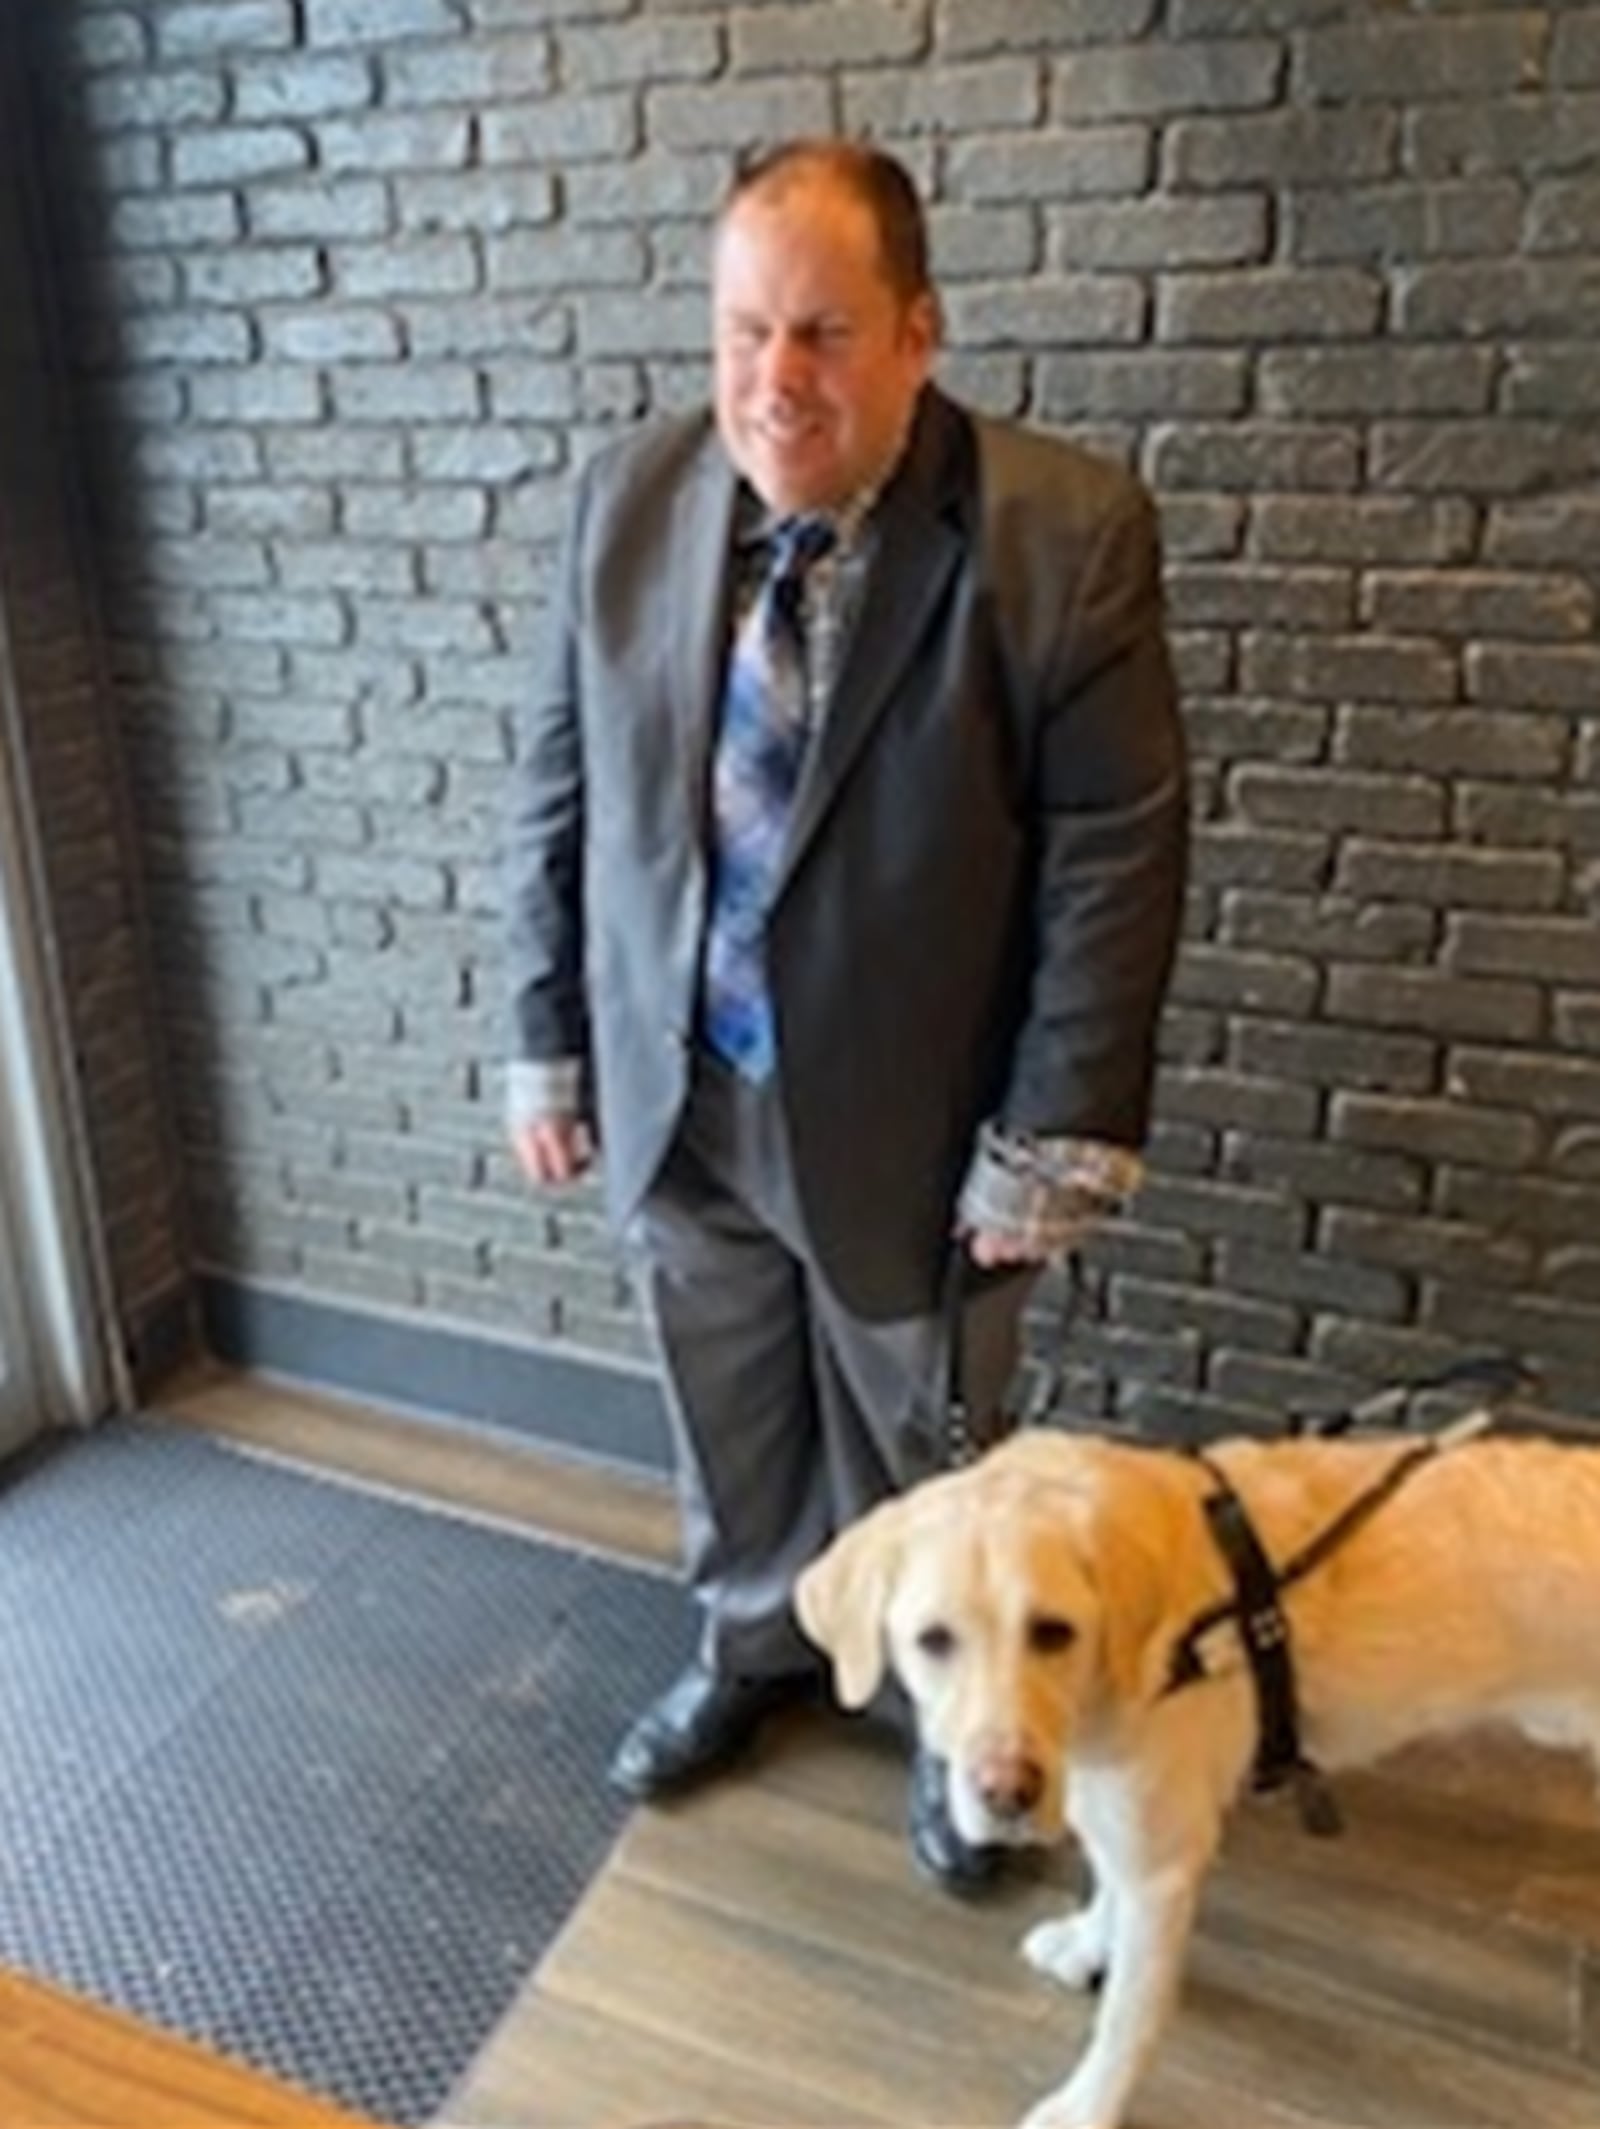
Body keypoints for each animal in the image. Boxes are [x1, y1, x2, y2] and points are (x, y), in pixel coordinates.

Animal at [795, 1422, 1600, 2129]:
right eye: (934, 1639)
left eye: (1054, 1632)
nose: (1008, 1795)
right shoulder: (1118, 1807)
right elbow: (1106, 1888)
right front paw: (1088, 1946)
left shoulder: (1166, 1863)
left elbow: (1129, 2015)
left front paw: (1088, 2107)